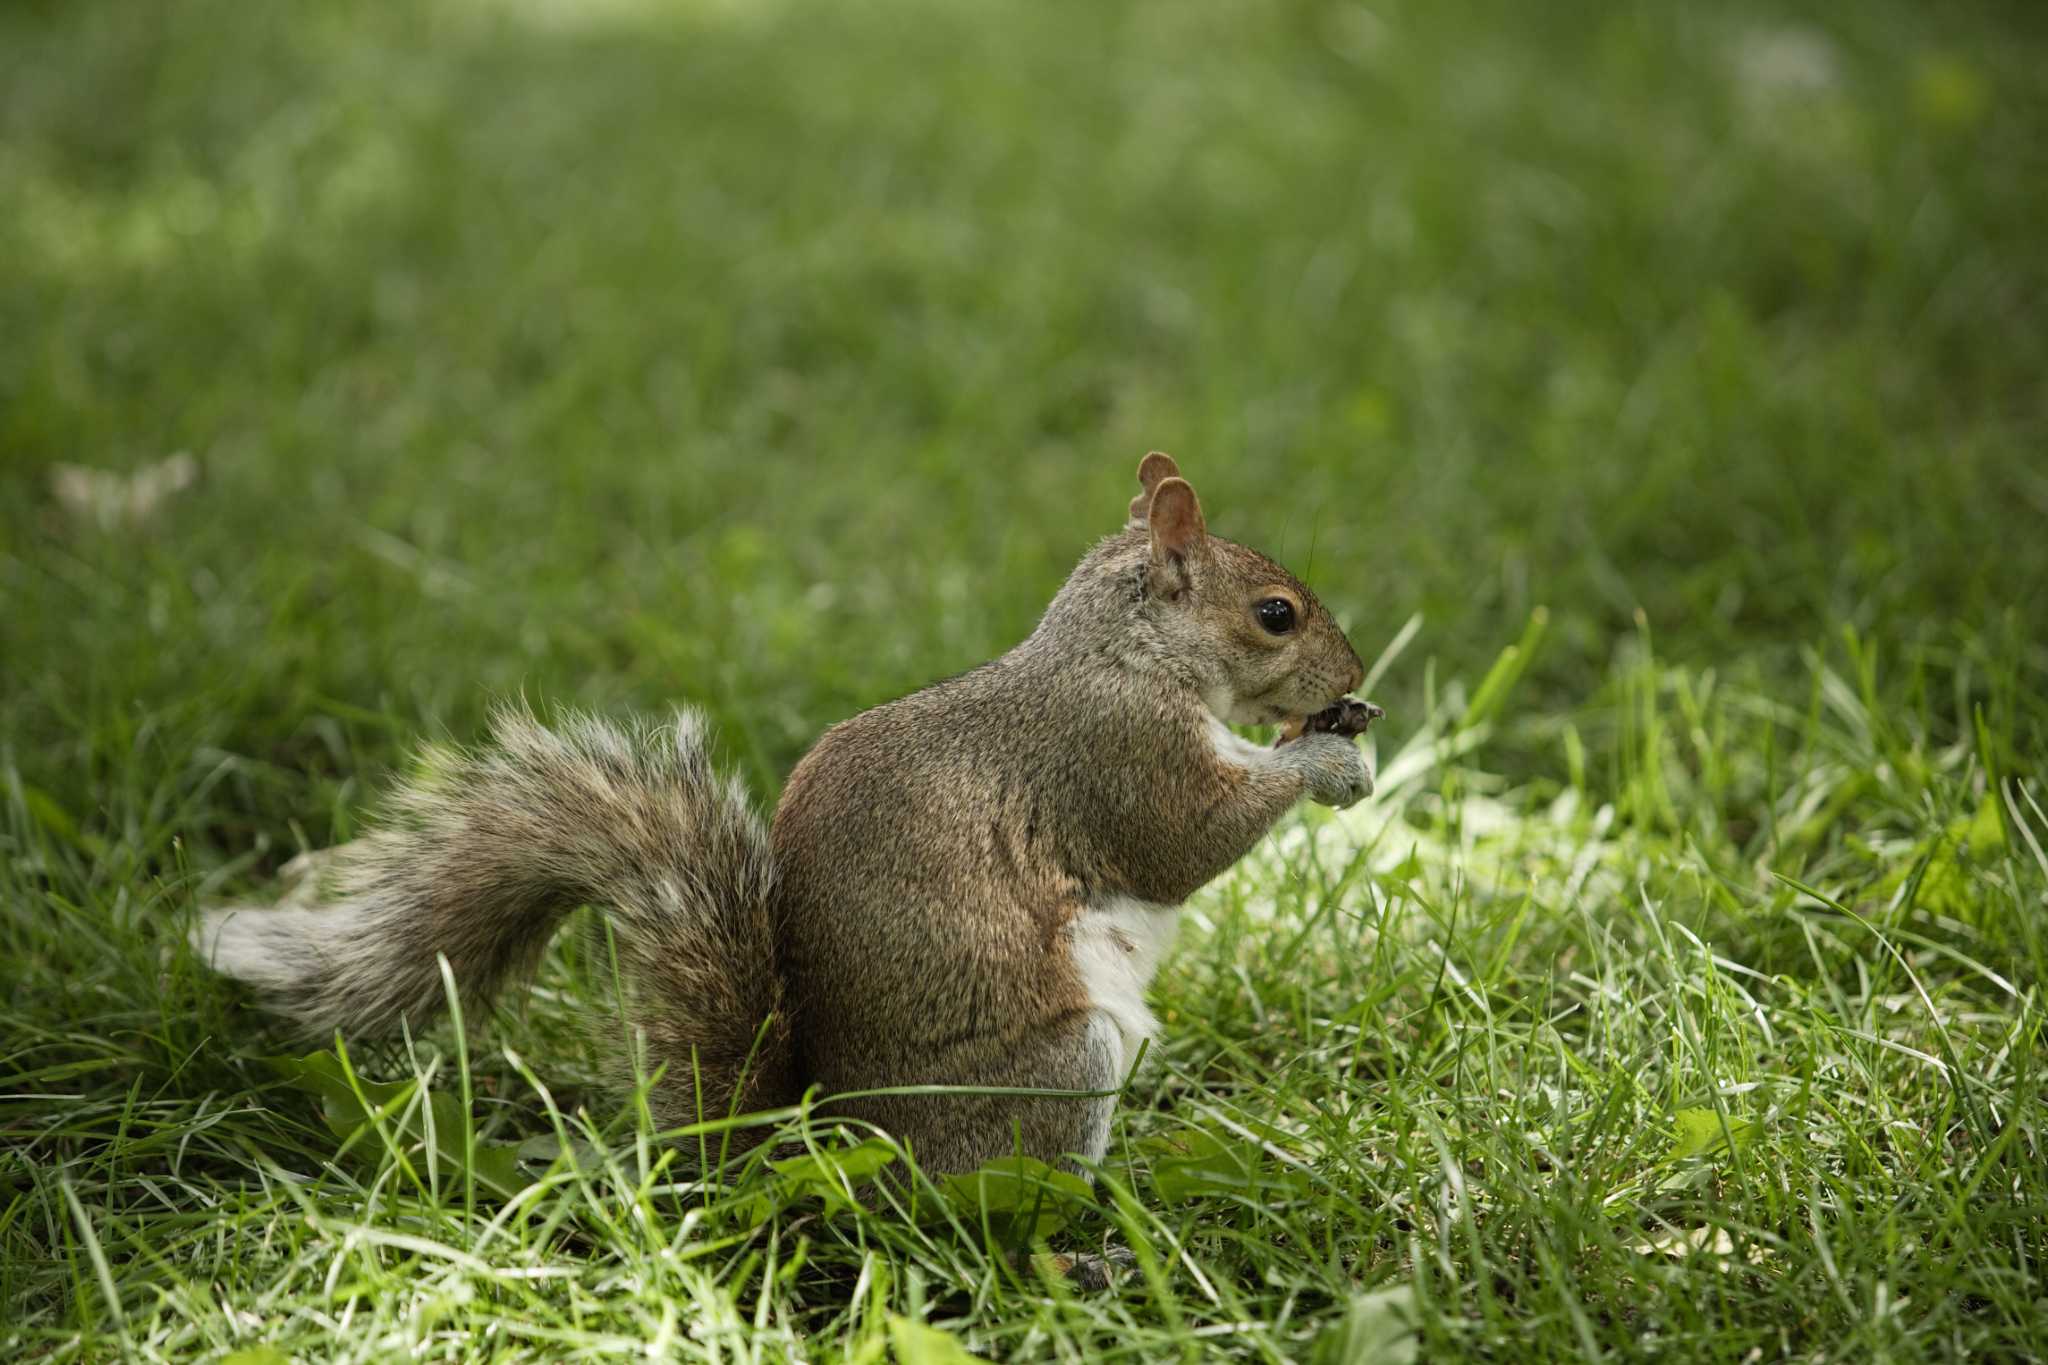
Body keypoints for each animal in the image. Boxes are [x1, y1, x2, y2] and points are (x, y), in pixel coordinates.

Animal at [195, 456, 1376, 1178]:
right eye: (1274, 614)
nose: (1354, 676)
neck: (1119, 653)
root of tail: (814, 1146)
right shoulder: (1114, 758)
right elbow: (1184, 844)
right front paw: (1322, 757)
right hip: (1058, 1066)